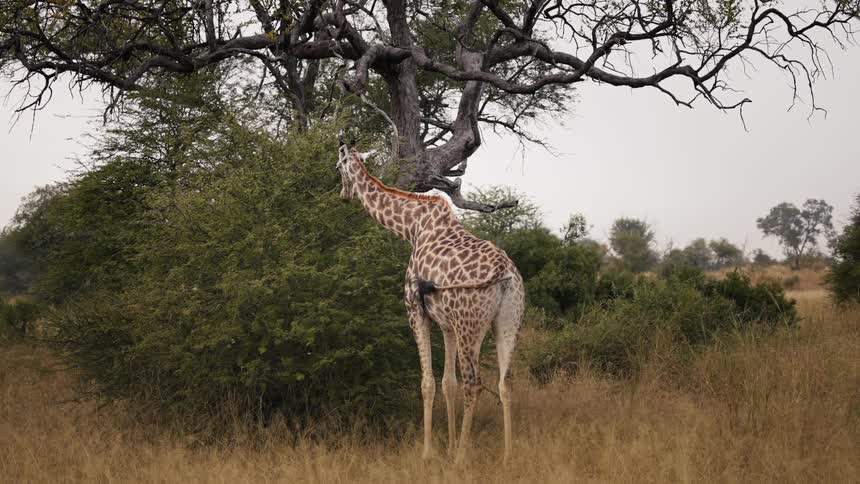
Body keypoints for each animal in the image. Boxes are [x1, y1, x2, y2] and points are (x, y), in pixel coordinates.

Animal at [336, 145, 526, 464]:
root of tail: (504, 273)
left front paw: (428, 452)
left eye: (338, 167)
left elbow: (427, 383)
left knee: (474, 382)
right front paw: (447, 446)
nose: (342, 195)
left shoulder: (415, 310)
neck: (411, 227)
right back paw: (508, 456)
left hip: (470, 322)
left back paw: (462, 456)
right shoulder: (446, 324)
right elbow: (448, 383)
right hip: (508, 319)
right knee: (506, 380)